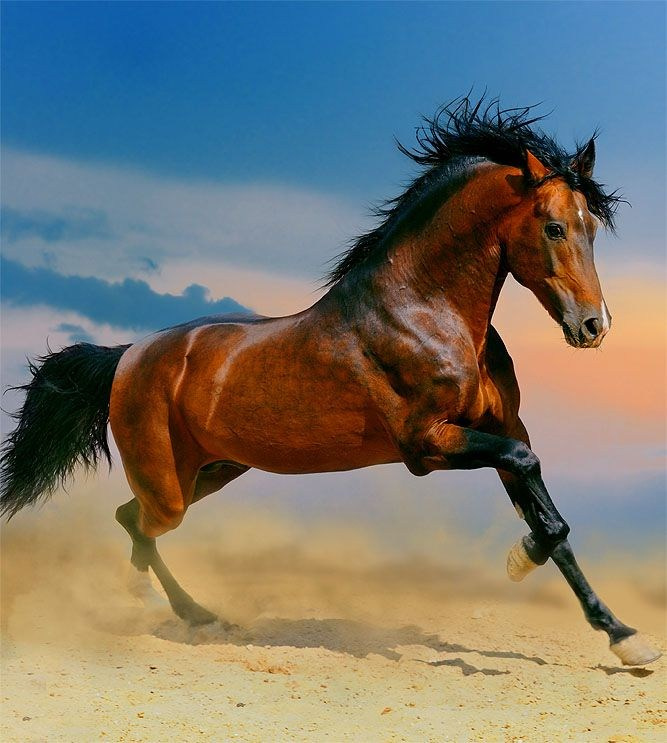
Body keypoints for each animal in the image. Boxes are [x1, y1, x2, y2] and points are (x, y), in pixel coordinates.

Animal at [1, 96, 660, 666]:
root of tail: (127, 356)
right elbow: (535, 491)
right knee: (139, 525)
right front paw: (521, 562)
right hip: (169, 485)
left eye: (591, 228)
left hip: (211, 471)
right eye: (553, 228)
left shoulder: (501, 430)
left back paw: (188, 614)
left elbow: (552, 518)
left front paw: (624, 637)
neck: (424, 309)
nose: (594, 325)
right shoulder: (427, 444)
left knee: (128, 519)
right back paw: (175, 614)